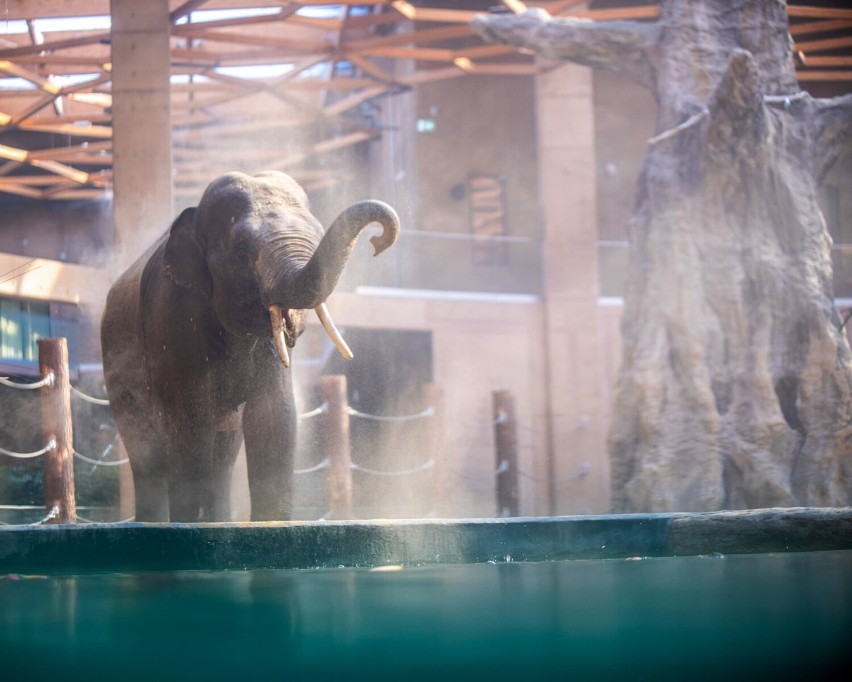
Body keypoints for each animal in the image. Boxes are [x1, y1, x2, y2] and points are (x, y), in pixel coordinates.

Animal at [101, 171, 402, 520]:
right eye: (242, 251)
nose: (377, 241)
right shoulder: (171, 318)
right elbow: (190, 420)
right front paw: (191, 524)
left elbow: (274, 415)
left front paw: (269, 522)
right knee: (146, 447)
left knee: (224, 447)